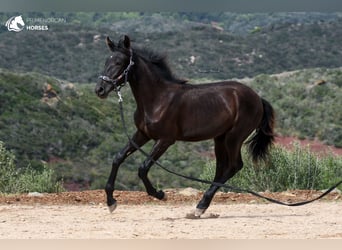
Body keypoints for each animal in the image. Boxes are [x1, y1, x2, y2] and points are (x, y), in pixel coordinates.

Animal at [94, 35, 276, 217]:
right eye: (106, 61)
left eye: (119, 62)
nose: (99, 90)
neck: (157, 99)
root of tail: (258, 98)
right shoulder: (142, 134)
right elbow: (118, 158)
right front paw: (111, 202)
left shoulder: (165, 140)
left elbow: (143, 168)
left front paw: (160, 194)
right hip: (220, 138)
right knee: (221, 168)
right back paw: (201, 207)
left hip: (234, 137)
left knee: (234, 166)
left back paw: (201, 205)